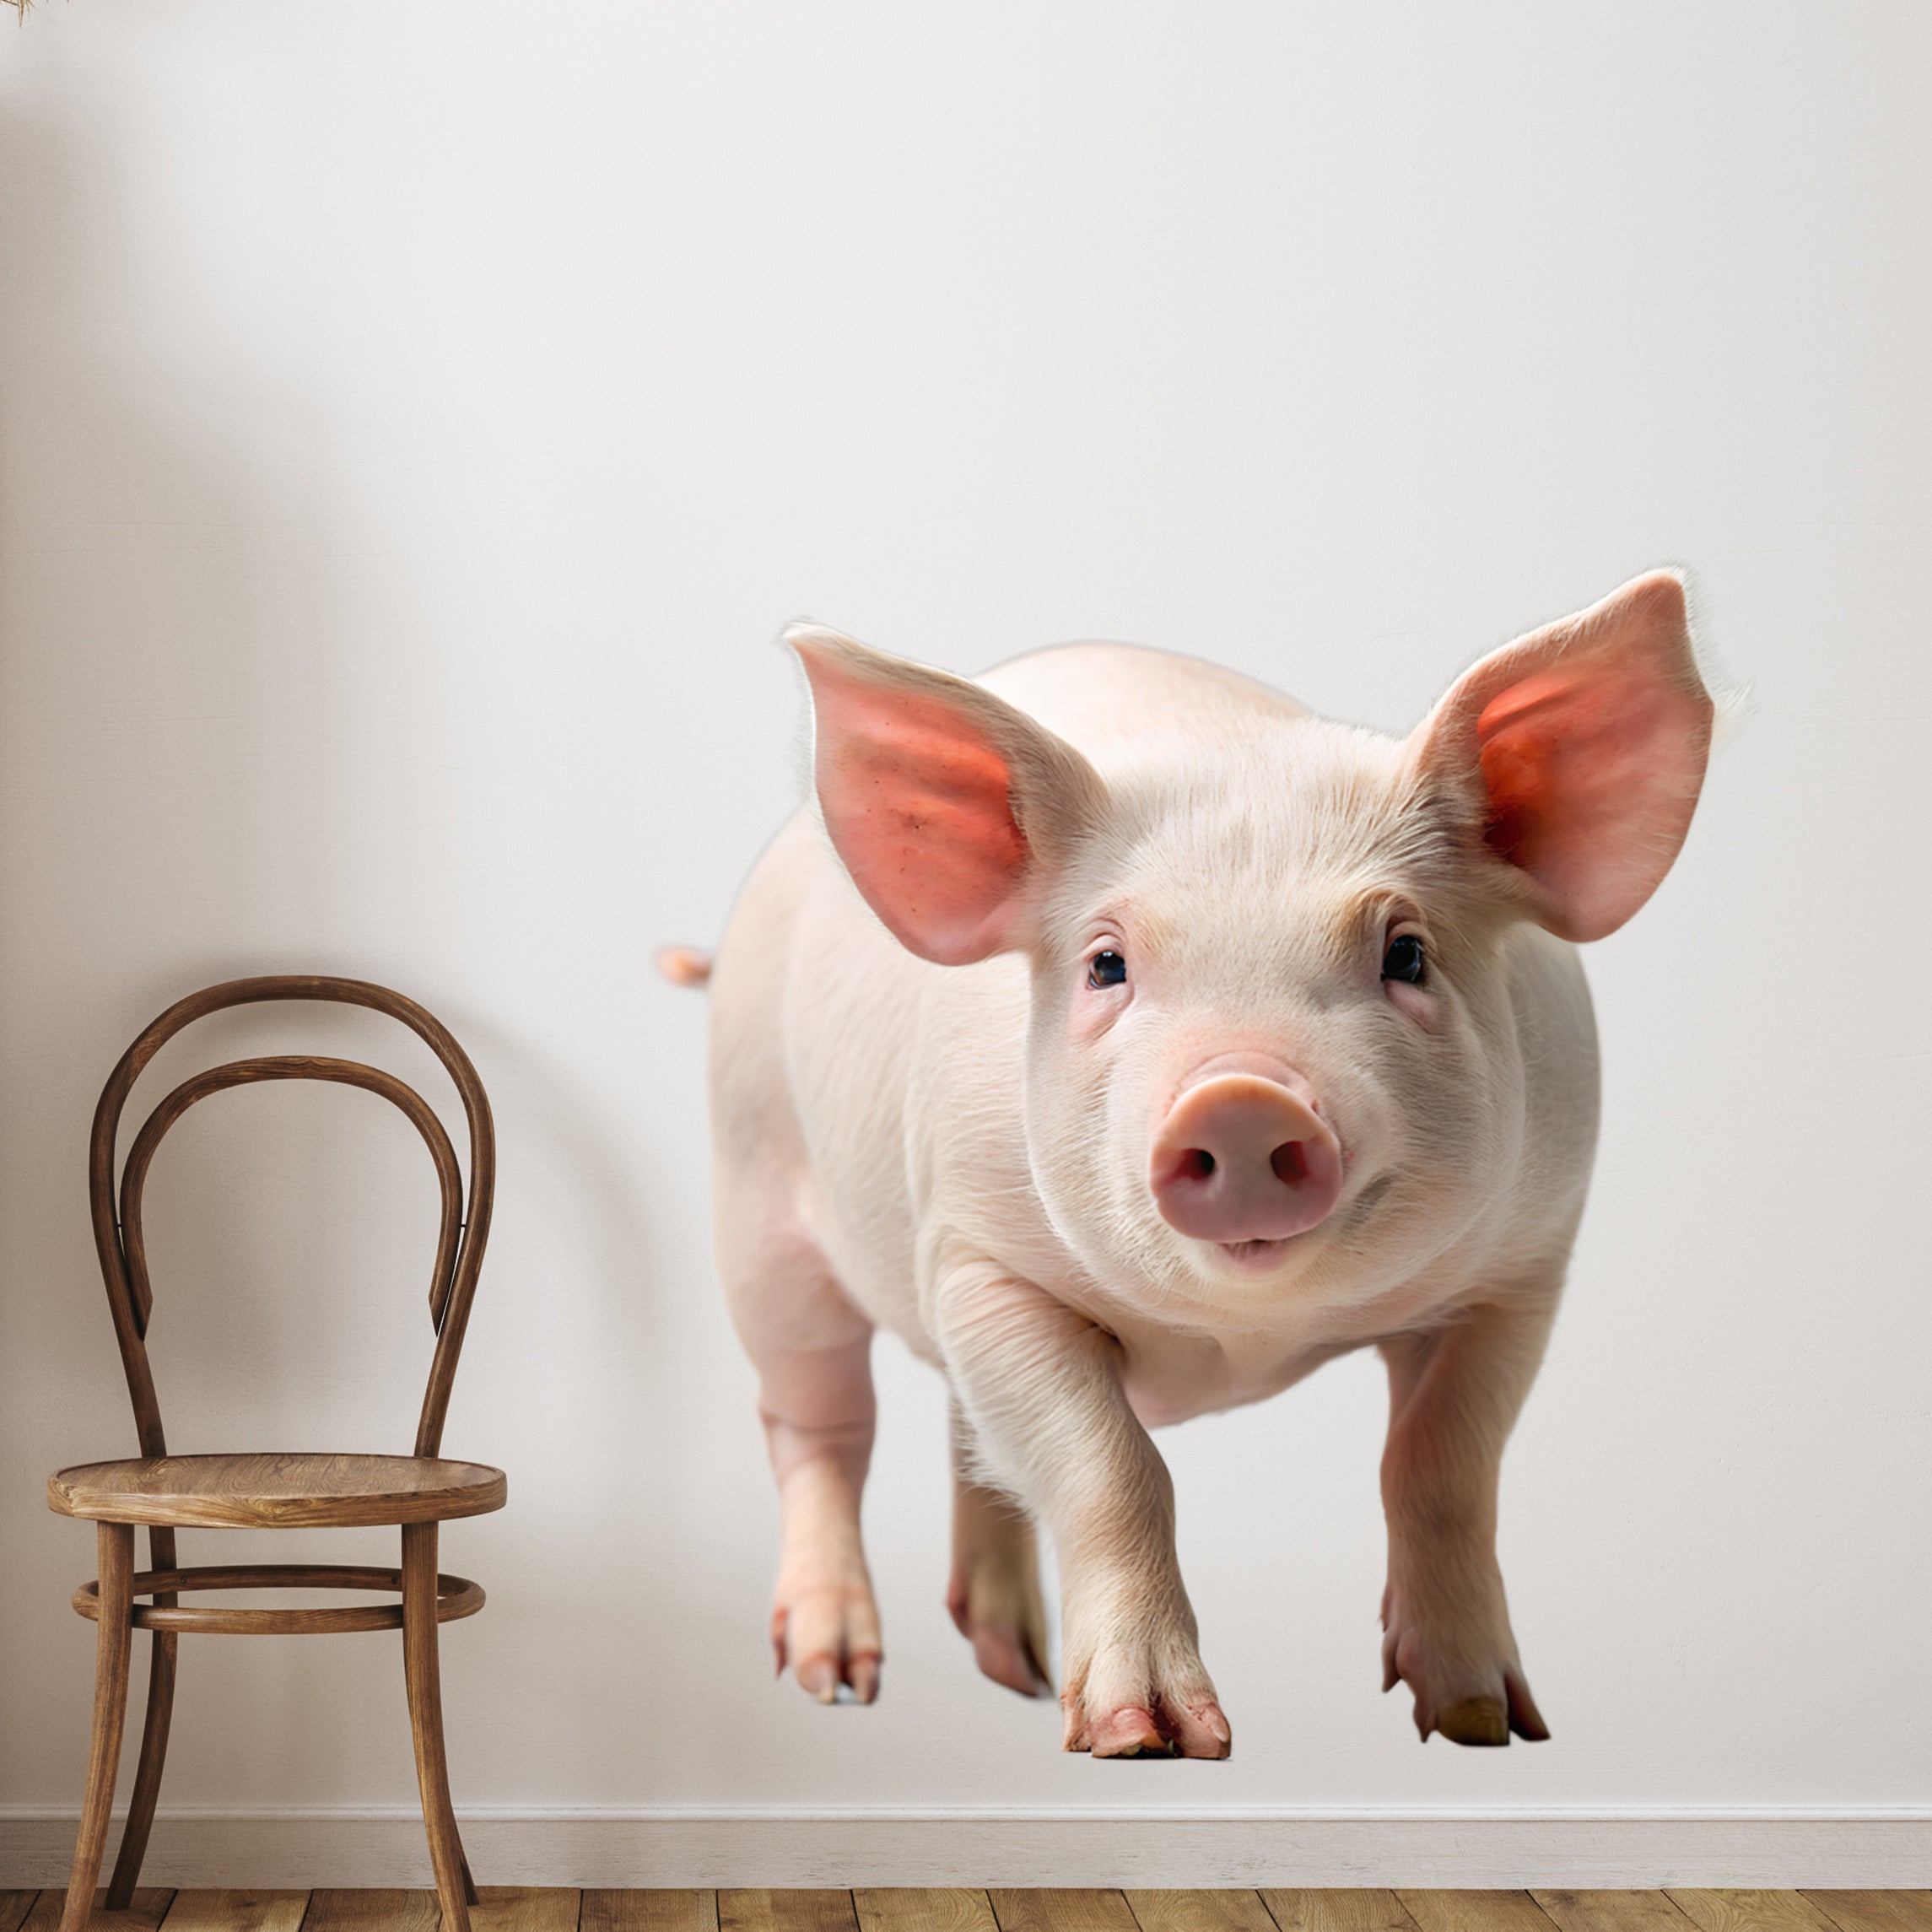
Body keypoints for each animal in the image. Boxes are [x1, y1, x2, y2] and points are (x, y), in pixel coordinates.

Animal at [677, 571, 1713, 1757]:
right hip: (755, 1196)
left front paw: (1483, 1723)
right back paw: (838, 1677)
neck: (1240, 1339)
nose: (1242, 1095)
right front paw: (1151, 1740)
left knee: (965, 1438)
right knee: (818, 1425)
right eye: (1105, 964)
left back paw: (1014, 1670)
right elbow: (1112, 1466)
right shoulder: (980, 1256)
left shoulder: (1526, 1265)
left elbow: (1444, 1466)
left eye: (1406, 953)